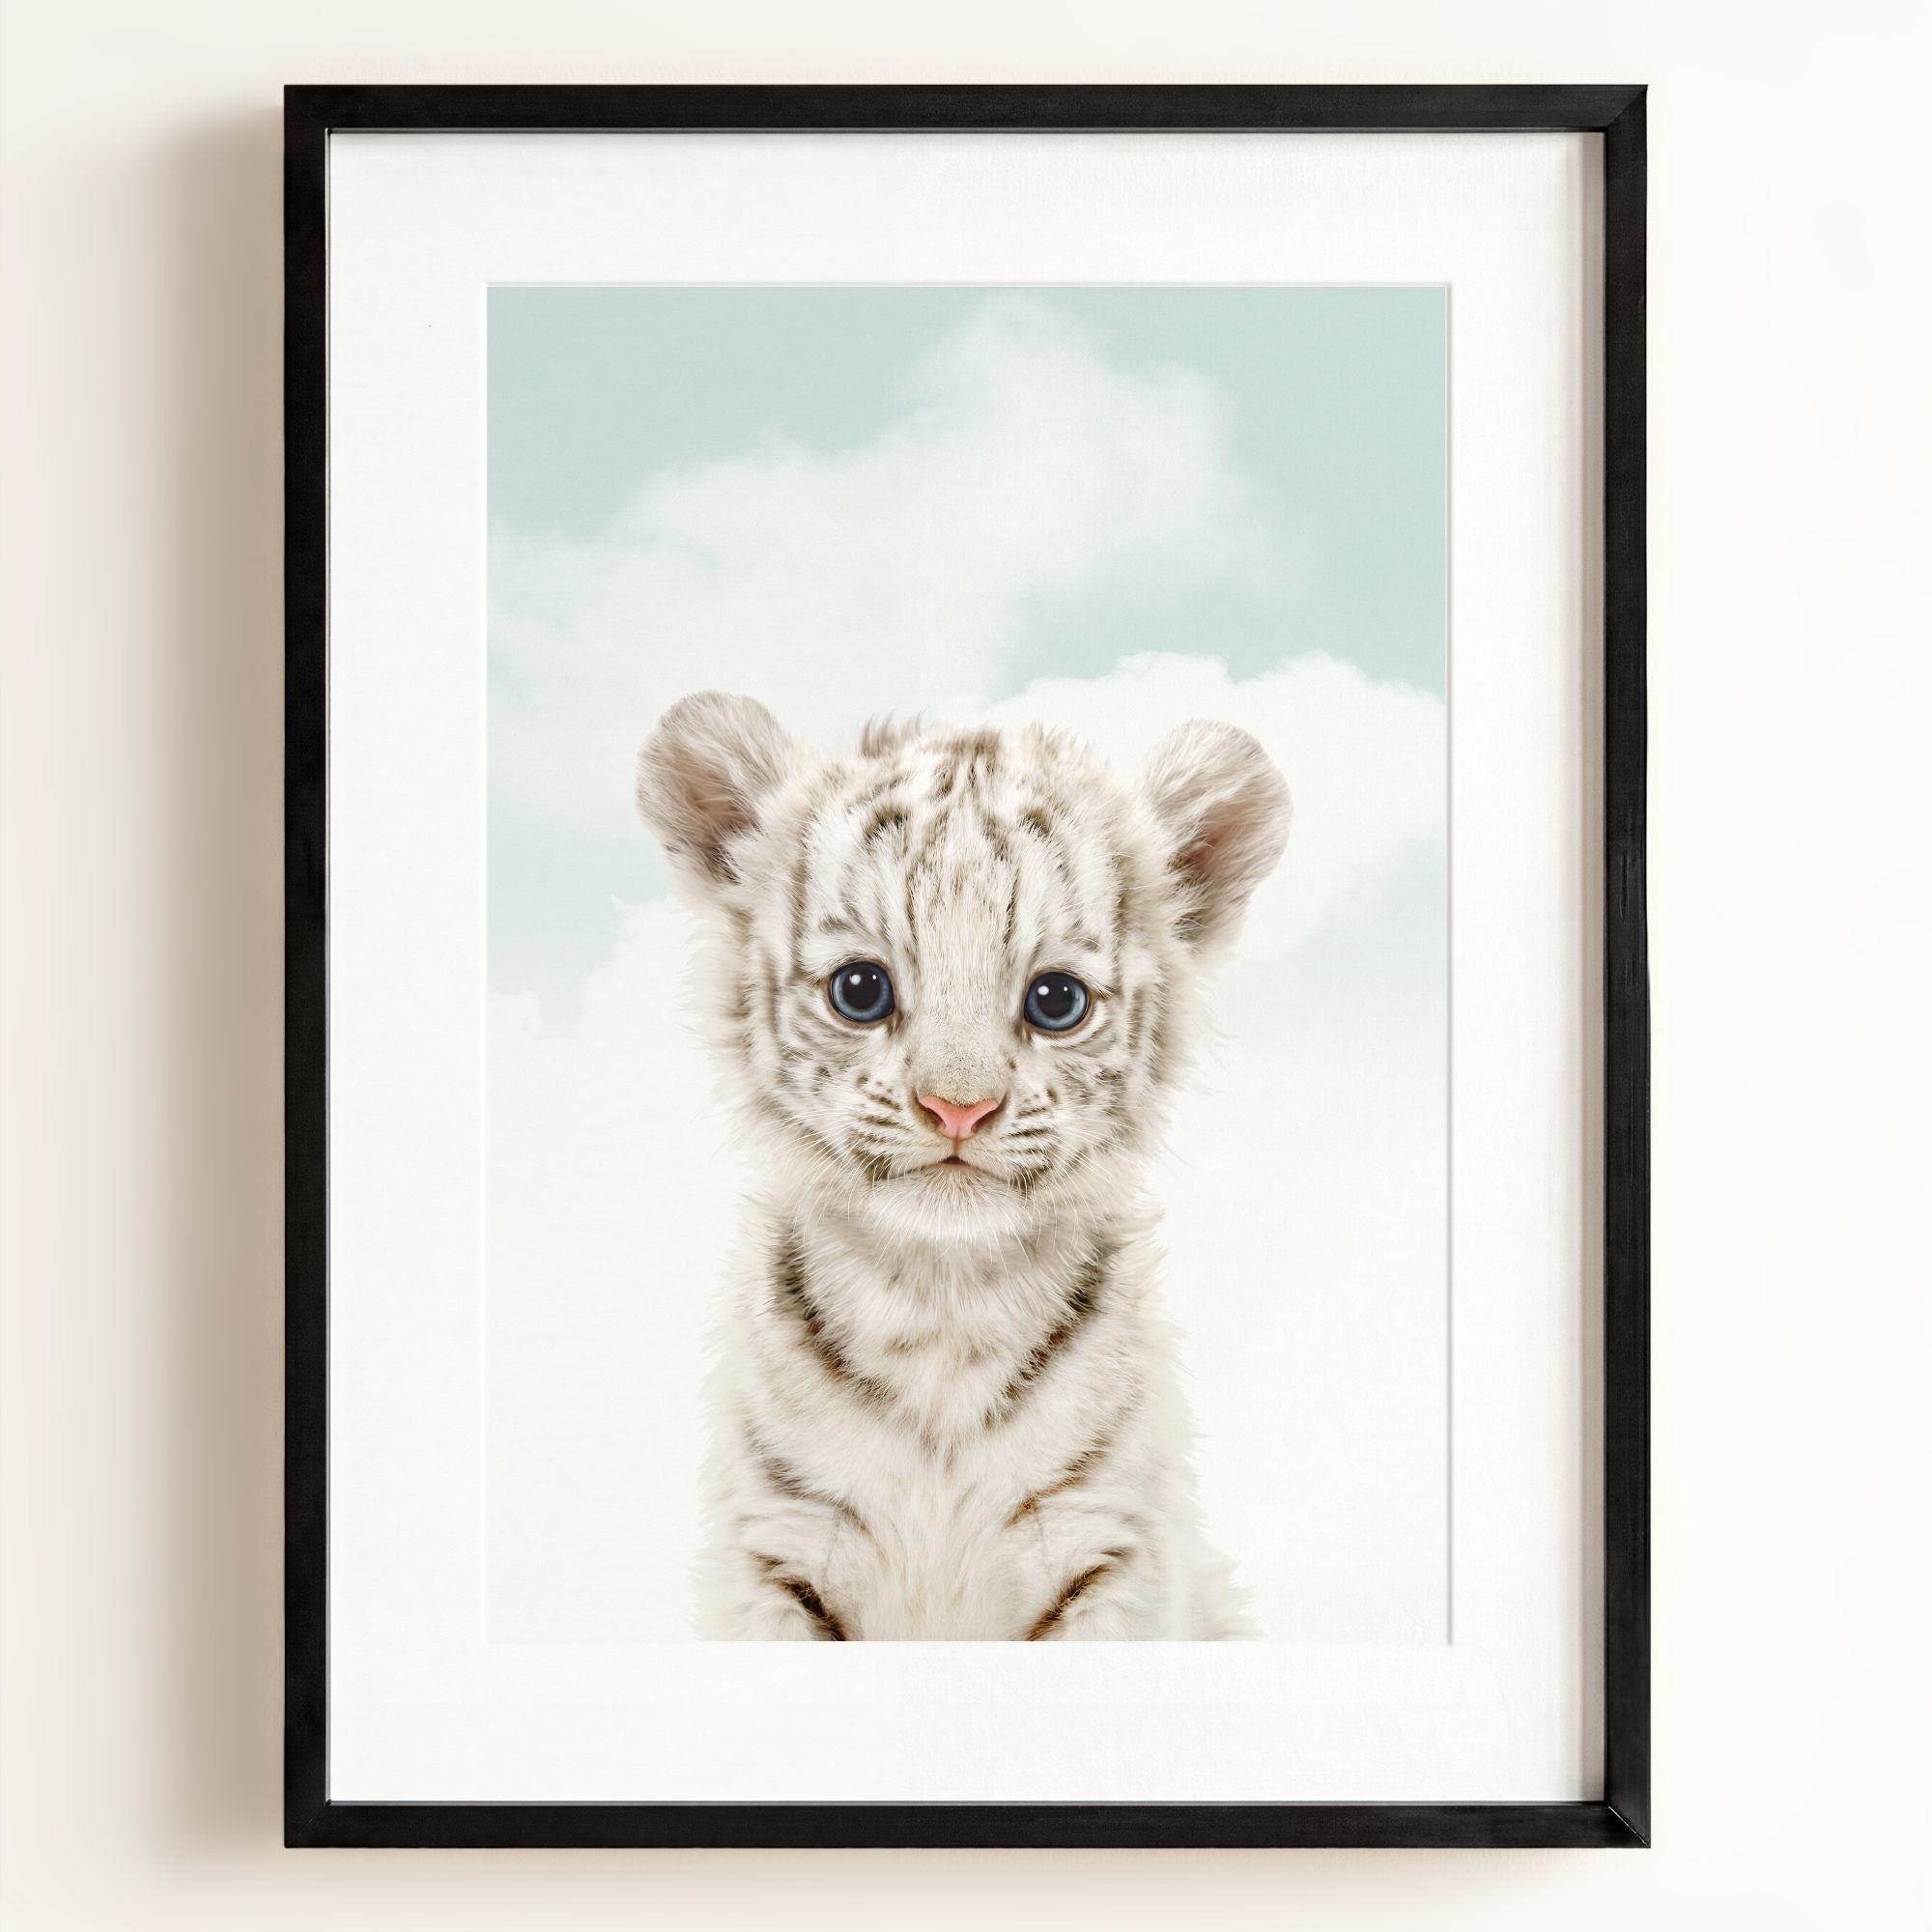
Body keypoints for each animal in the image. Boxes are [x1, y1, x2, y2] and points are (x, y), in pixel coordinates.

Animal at [635, 691, 1290, 1638]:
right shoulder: (778, 1548)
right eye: (860, 989)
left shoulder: (1109, 1549)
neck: (941, 1305)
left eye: (1056, 1001)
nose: (958, 1108)